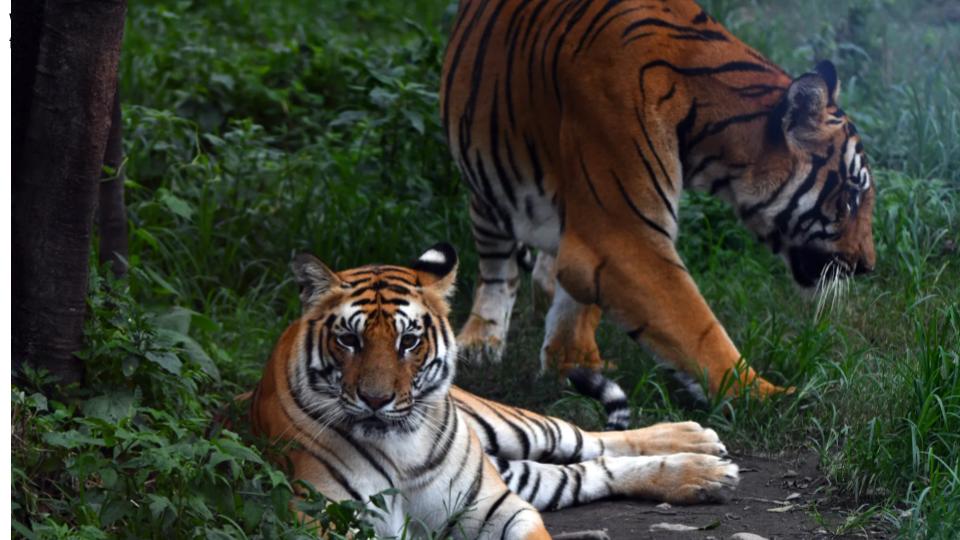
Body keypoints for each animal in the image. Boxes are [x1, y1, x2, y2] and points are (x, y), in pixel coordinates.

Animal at [250, 244, 738, 539]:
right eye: (349, 340)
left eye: (409, 341)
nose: (375, 400)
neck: (402, 450)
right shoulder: (320, 519)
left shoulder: (498, 508)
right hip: (515, 470)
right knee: (588, 471)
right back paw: (703, 474)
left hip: (514, 431)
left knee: (588, 440)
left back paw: (698, 446)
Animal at [440, 0, 876, 398]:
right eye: (852, 196)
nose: (868, 267)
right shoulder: (622, 238)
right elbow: (697, 327)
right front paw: (772, 396)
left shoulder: (594, 224)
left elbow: (579, 300)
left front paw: (573, 361)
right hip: (487, 182)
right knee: (497, 268)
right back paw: (481, 340)